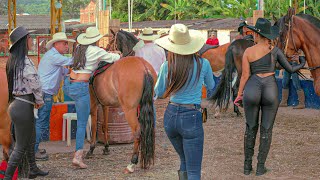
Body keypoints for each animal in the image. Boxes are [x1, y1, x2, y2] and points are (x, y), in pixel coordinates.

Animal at [85, 29, 157, 173]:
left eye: (112, 40)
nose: (107, 48)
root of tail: (144, 68)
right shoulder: (106, 105)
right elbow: (105, 125)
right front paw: (106, 147)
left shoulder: (94, 103)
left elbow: (95, 125)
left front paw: (91, 149)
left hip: (129, 110)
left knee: (137, 131)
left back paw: (132, 163)